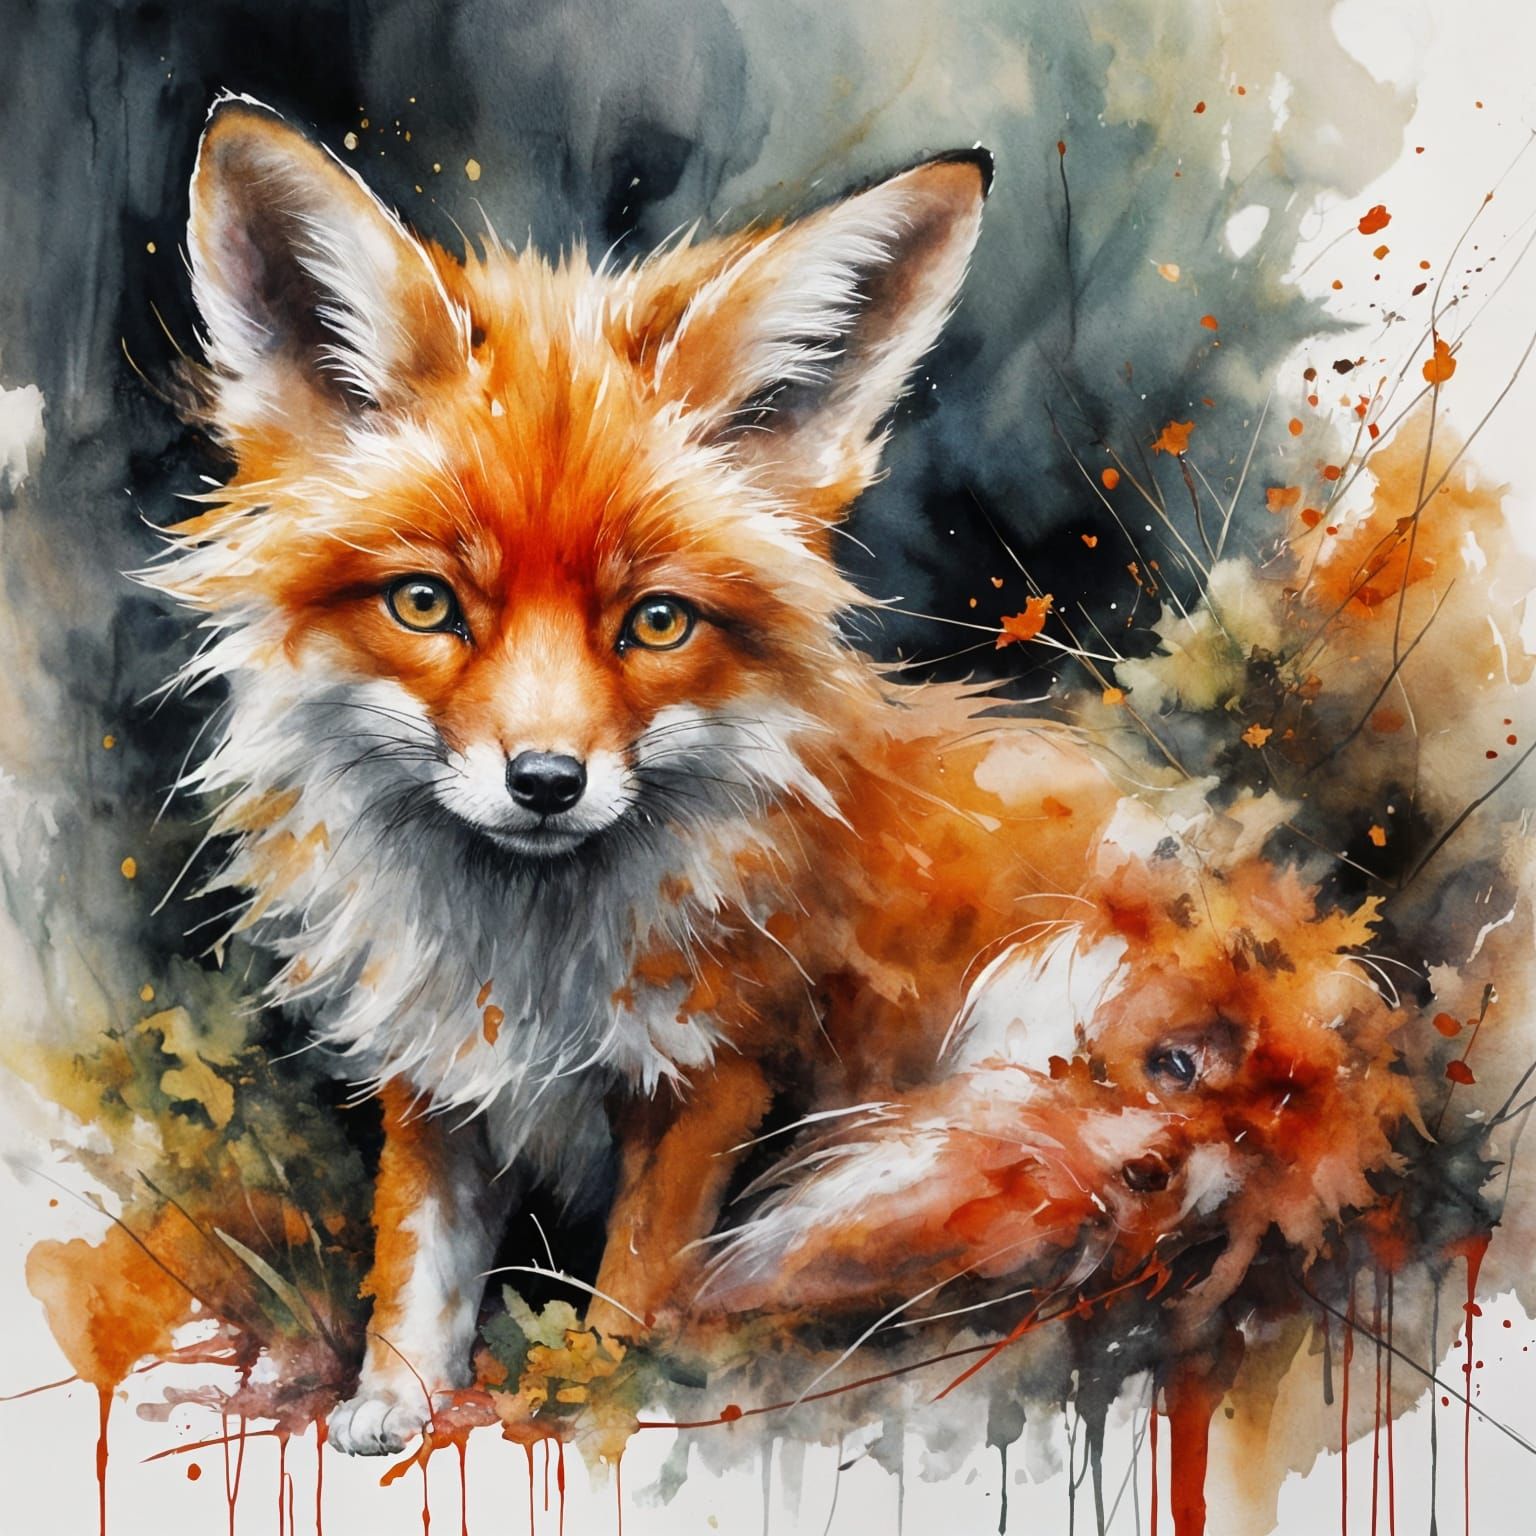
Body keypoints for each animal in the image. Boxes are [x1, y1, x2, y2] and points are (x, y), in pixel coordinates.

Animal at [155, 94, 1139, 1455]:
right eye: (426, 604)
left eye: (657, 622)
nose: (545, 781)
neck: (531, 965)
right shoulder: (437, 1072)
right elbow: (418, 1260)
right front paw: (394, 1403)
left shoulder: (711, 1086)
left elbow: (633, 1301)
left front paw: (599, 1412)